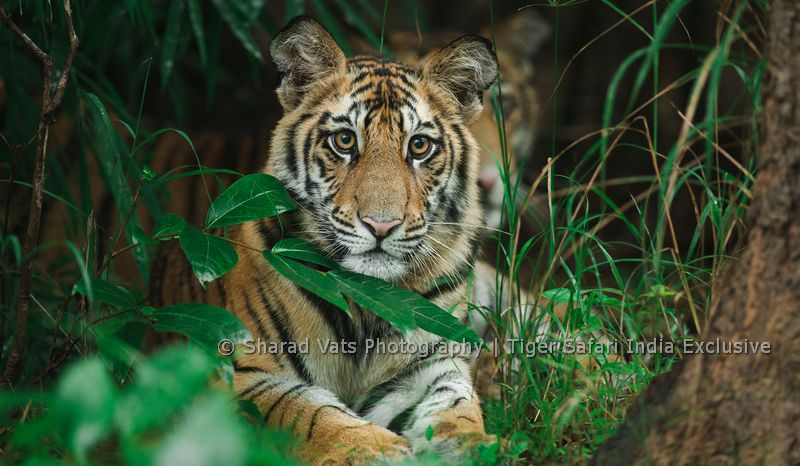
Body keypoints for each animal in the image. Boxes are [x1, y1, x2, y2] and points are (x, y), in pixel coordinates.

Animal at [153, 16, 504, 464]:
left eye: (419, 146)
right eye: (345, 140)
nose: (381, 225)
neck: (368, 300)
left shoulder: (432, 365)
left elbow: (456, 402)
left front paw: (469, 445)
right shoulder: (240, 373)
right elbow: (307, 412)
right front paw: (375, 449)